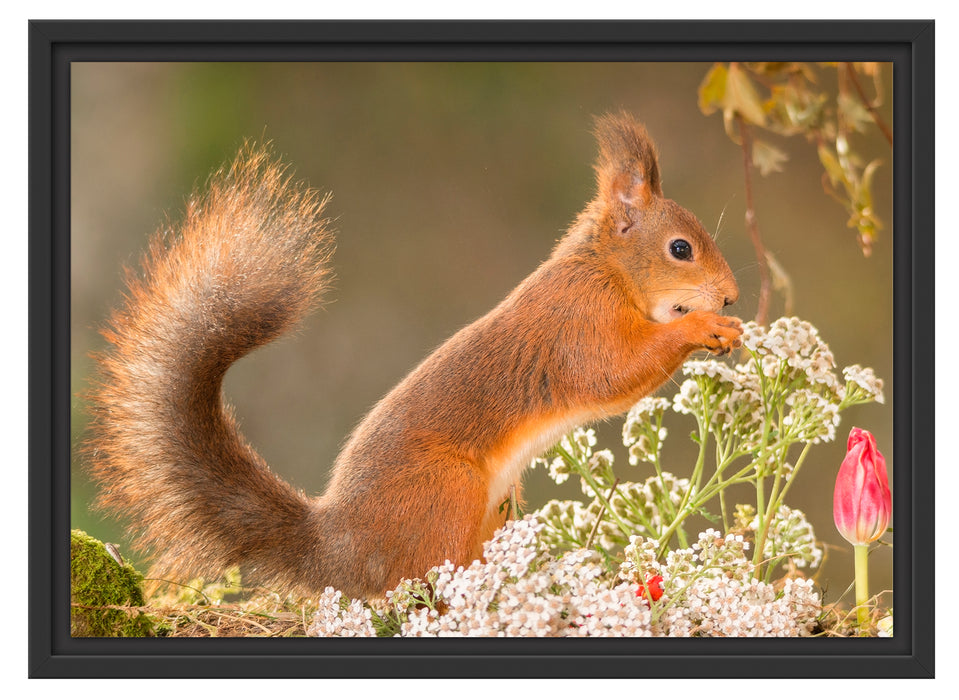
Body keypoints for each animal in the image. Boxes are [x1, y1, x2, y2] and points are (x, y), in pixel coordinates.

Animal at [86, 112, 748, 600]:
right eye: (681, 249)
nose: (731, 295)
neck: (605, 271)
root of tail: (338, 550)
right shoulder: (576, 326)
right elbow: (614, 374)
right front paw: (705, 327)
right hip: (444, 494)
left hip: (494, 507)